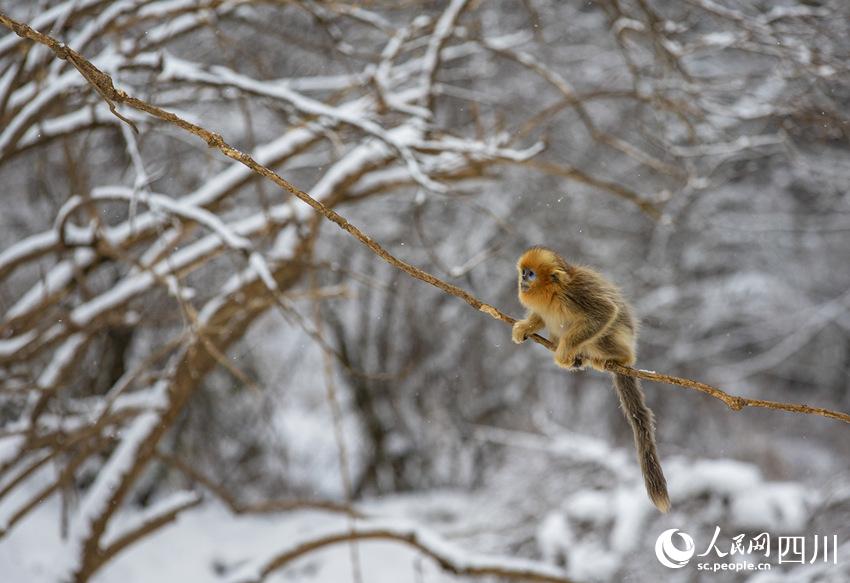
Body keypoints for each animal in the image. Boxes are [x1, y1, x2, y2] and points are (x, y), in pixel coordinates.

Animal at [510, 249, 668, 512]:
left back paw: (615, 357)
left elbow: (604, 313)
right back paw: (579, 360)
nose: (522, 280)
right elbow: (540, 317)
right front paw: (525, 327)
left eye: (530, 274)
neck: (554, 293)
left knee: (603, 330)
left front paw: (564, 352)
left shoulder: (577, 293)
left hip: (616, 340)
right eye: (523, 272)